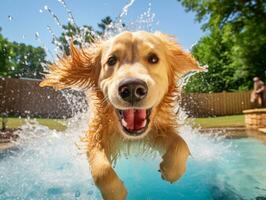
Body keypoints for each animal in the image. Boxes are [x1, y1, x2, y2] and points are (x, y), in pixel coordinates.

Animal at [40, 31, 201, 200]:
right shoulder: (97, 135)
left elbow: (180, 144)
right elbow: (102, 170)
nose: (132, 89)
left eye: (153, 58)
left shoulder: (156, 132)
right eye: (111, 60)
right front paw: (115, 192)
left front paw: (171, 170)